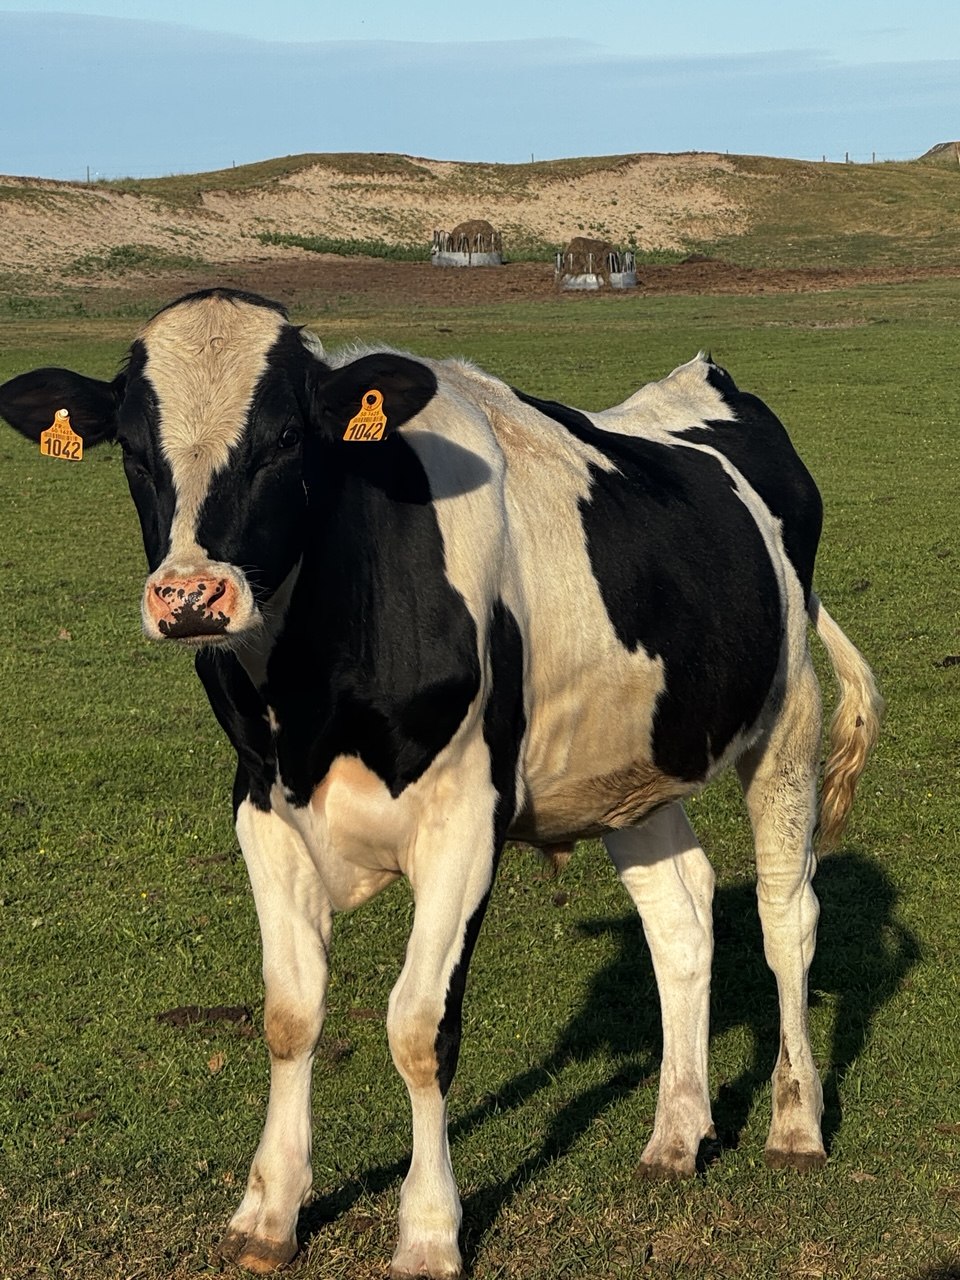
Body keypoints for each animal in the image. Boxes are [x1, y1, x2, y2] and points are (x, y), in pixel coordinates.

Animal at [0, 287, 882, 1279]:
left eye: (285, 439)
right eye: (134, 451)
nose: (191, 598)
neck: (313, 697)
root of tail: (709, 380)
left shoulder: (467, 817)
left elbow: (421, 1028)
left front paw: (427, 1230)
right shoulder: (261, 808)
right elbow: (289, 1013)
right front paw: (269, 1212)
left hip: (787, 718)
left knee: (784, 917)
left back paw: (796, 1123)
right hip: (632, 764)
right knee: (682, 924)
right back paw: (676, 1132)